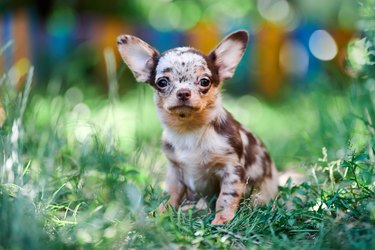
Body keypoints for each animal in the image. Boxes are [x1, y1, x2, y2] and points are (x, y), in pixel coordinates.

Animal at [117, 29, 280, 225]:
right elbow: (169, 195)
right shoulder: (175, 172)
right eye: (162, 82)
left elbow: (225, 198)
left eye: (204, 81)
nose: (183, 92)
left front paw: (222, 220)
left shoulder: (231, 170)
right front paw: (159, 214)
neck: (189, 130)